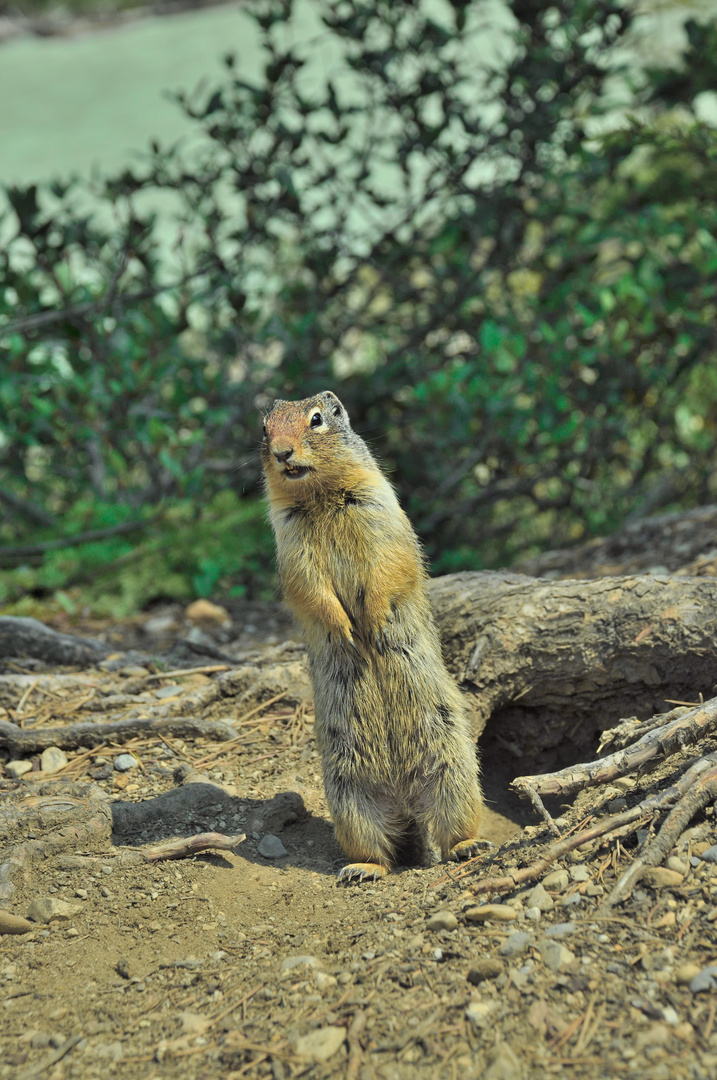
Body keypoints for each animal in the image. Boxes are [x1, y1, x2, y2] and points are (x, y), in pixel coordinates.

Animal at [260, 393, 483, 881]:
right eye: (264, 428)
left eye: (317, 420)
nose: (282, 453)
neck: (320, 497)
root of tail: (405, 804)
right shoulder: (290, 541)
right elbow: (310, 588)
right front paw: (344, 629)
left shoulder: (380, 510)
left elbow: (388, 566)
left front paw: (374, 621)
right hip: (349, 795)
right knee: (375, 846)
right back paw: (364, 869)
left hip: (453, 767)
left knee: (453, 826)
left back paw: (469, 846)